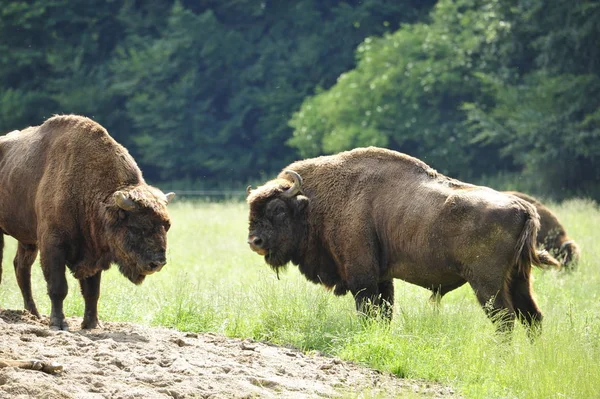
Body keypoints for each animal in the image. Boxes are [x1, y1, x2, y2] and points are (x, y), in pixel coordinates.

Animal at [0, 115, 175, 332]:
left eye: (167, 225)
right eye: (136, 227)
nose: (158, 262)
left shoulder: (94, 251)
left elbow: (92, 292)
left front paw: (92, 324)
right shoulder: (53, 245)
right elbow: (58, 287)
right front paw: (59, 323)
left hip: (28, 240)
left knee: (21, 268)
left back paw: (33, 314)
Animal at [245, 148, 556, 332]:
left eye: (278, 209)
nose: (254, 241)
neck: (312, 203)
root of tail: (522, 208)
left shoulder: (363, 278)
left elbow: (369, 310)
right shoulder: (383, 278)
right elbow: (384, 312)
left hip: (487, 283)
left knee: (505, 320)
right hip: (519, 278)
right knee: (532, 317)